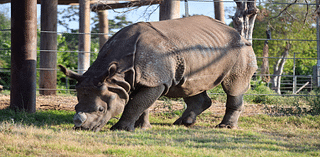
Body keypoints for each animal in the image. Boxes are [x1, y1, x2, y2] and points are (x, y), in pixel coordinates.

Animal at [58, 15, 258, 131]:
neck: (117, 75)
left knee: (233, 86)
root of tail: (238, 34)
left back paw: (225, 127)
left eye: (101, 109)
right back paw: (183, 123)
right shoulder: (142, 79)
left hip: (241, 50)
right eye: (75, 106)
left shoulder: (154, 80)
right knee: (188, 85)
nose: (82, 128)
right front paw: (141, 127)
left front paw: (120, 129)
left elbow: (136, 103)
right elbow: (141, 104)